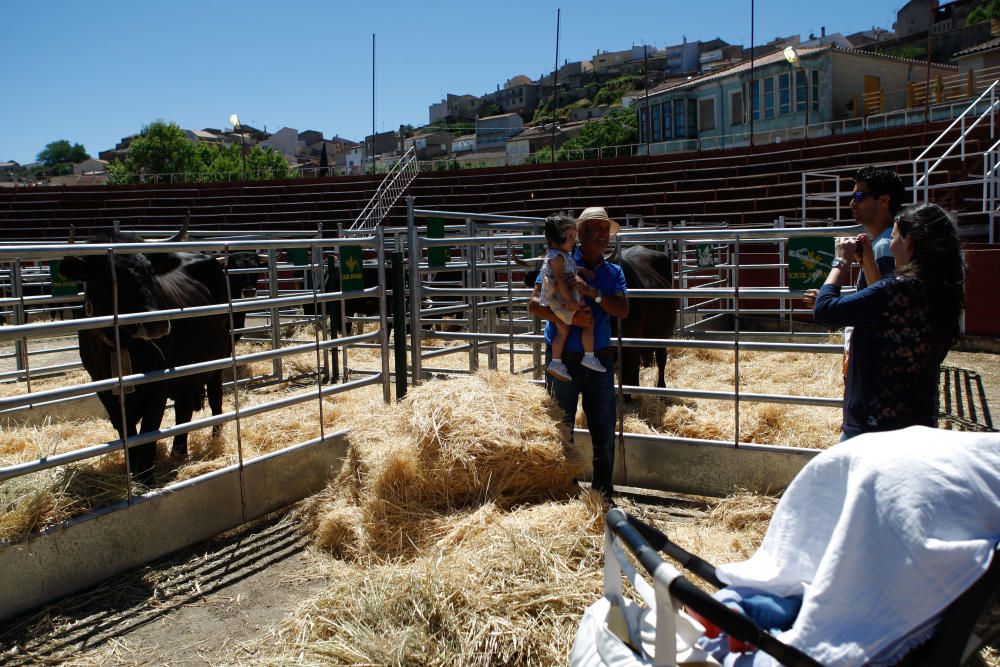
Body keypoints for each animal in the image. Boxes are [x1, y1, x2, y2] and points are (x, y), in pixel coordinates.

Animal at [62, 226, 232, 480]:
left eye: (149, 272)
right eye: (109, 277)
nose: (156, 323)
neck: (123, 346)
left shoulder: (158, 386)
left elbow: (149, 429)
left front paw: (146, 477)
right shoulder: (105, 390)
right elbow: (128, 432)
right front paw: (133, 471)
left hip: (216, 364)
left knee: (214, 400)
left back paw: (214, 439)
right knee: (183, 410)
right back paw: (178, 452)